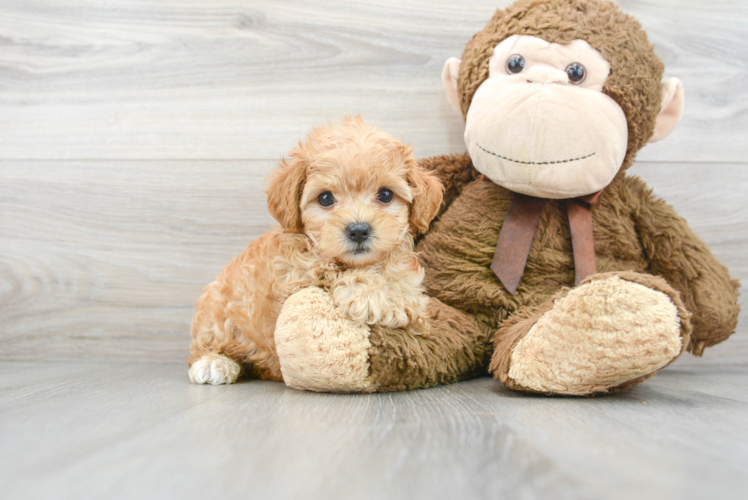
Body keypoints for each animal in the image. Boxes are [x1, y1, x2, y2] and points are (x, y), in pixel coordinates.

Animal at [188, 118, 444, 386]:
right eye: (325, 198)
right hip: (215, 313)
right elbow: (326, 274)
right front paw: (368, 293)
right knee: (208, 345)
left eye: (385, 194)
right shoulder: (291, 279)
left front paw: (386, 296)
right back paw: (213, 363)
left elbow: (406, 295)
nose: (358, 230)